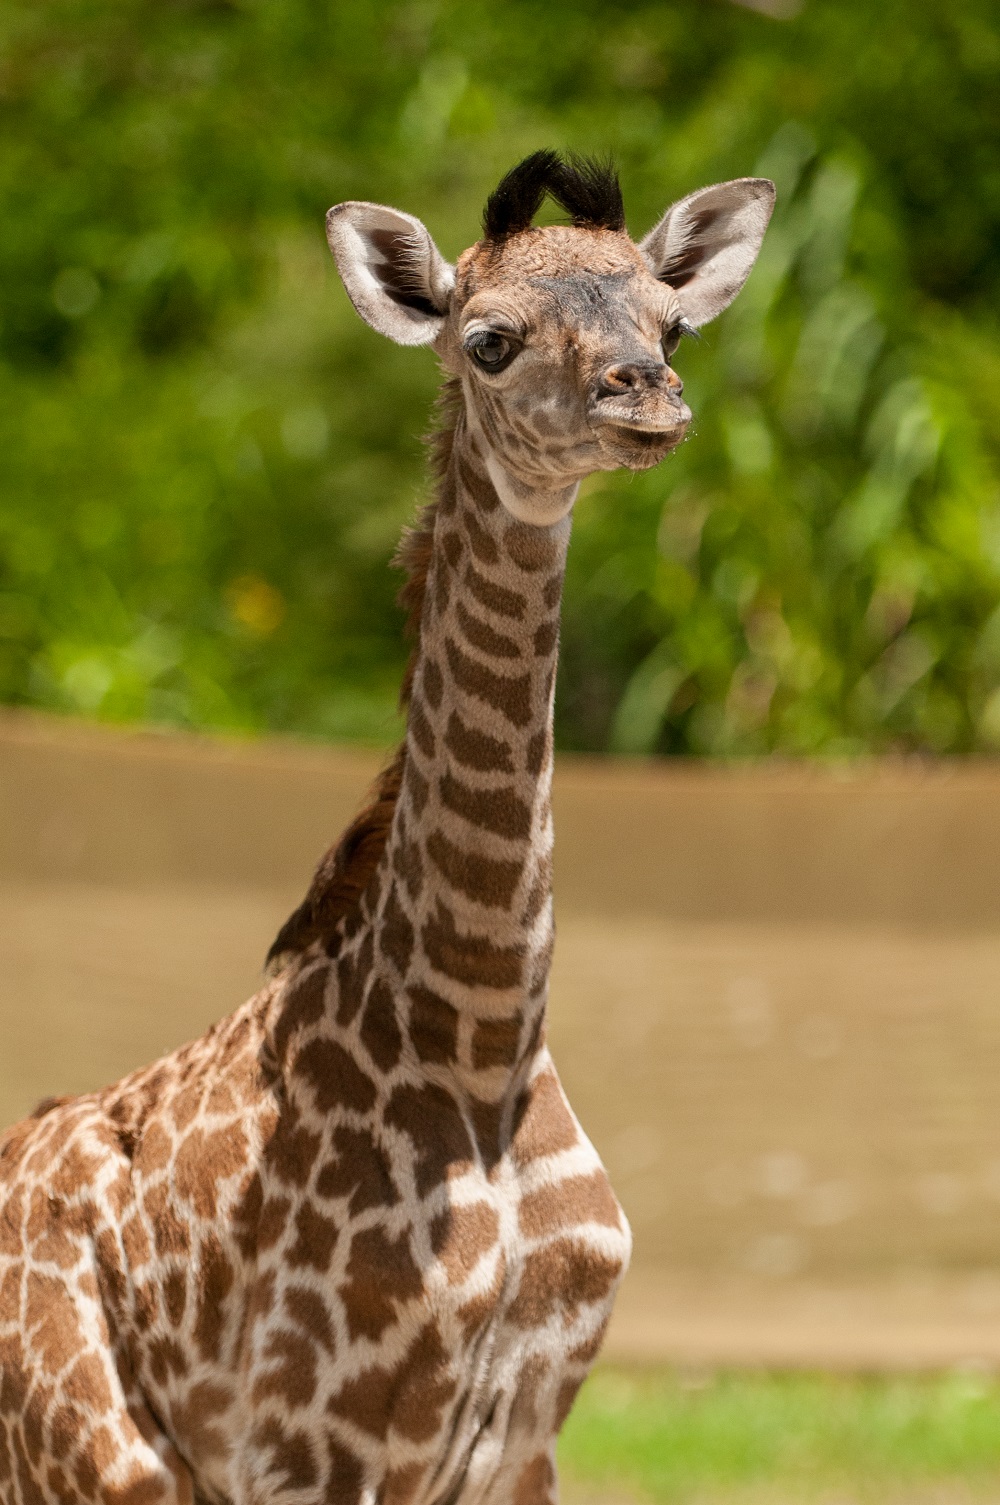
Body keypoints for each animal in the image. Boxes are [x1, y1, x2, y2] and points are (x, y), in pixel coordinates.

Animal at [0, 155, 771, 1505]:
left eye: (670, 324)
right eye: (488, 340)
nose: (647, 398)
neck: (482, 1049)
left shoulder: (526, 1435)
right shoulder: (314, 1440)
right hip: (102, 1464)